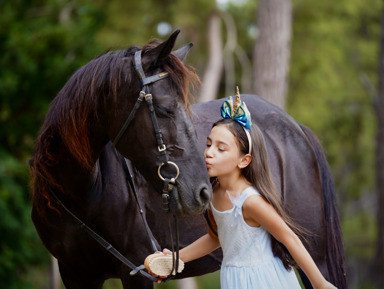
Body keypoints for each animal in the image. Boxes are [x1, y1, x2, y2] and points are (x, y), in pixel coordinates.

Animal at [30, 31, 348, 288]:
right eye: (165, 109)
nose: (203, 192)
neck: (82, 194)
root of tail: (296, 128)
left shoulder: (135, 271)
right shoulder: (76, 274)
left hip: (313, 254)